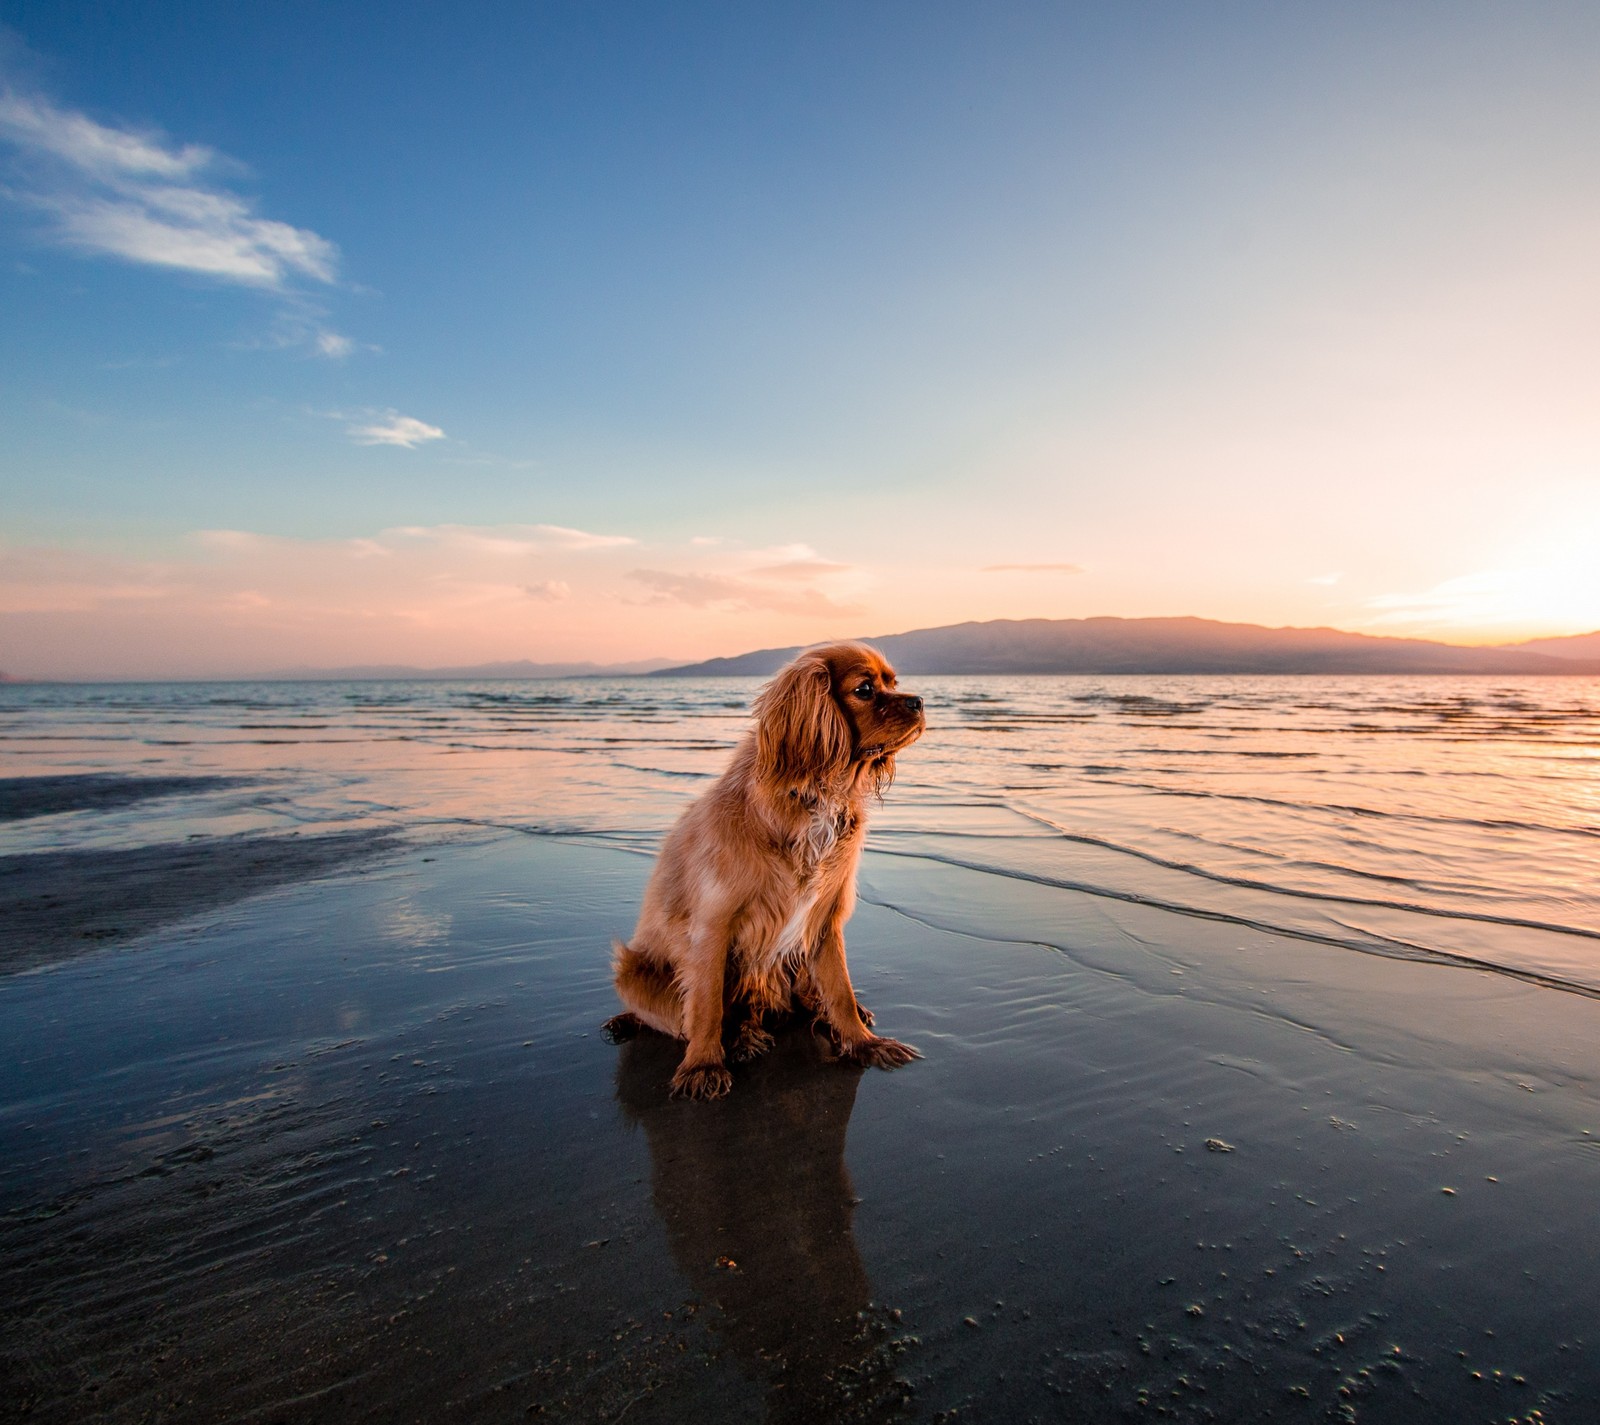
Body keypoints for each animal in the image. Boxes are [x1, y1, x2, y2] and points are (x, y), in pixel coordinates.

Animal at [601, 646, 928, 1100]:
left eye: (893, 683)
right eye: (865, 689)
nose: (919, 702)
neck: (815, 796)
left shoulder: (823, 919)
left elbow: (840, 991)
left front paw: (863, 1042)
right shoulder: (713, 925)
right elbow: (706, 1005)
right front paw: (703, 1065)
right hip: (634, 972)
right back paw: (739, 1038)